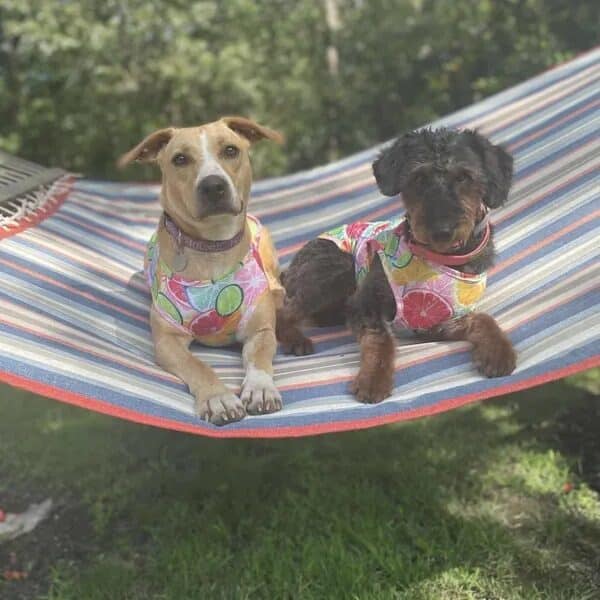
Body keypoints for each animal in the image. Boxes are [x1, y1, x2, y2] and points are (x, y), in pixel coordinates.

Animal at [120, 117, 284, 424]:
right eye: (180, 159)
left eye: (230, 150)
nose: (213, 186)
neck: (213, 247)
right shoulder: (167, 340)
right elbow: (197, 365)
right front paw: (217, 397)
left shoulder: (261, 330)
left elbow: (259, 358)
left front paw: (260, 387)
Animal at [276, 129, 516, 406]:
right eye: (419, 177)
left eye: (464, 177)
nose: (442, 230)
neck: (439, 258)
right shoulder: (364, 304)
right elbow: (381, 338)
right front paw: (373, 380)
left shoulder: (441, 322)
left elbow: (483, 319)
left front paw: (498, 352)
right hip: (335, 269)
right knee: (282, 311)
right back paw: (294, 338)